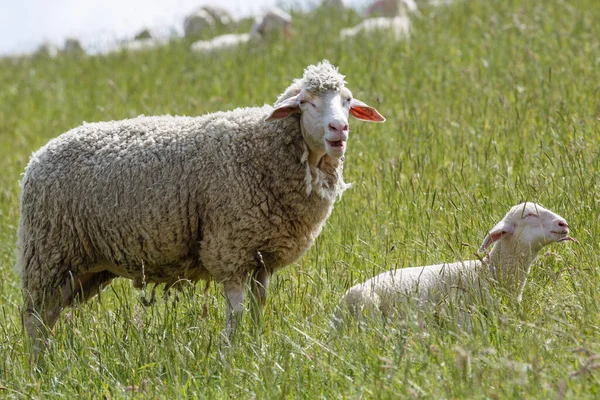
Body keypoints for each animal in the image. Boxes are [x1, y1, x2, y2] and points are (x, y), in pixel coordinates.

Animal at [18, 59, 386, 354]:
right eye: (306, 102)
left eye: (347, 101)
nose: (339, 128)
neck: (263, 151)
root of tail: (35, 159)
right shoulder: (229, 248)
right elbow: (236, 312)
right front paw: (229, 355)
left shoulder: (262, 256)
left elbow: (259, 306)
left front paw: (258, 349)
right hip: (47, 255)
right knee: (33, 318)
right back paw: (37, 369)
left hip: (82, 268)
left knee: (49, 316)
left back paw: (47, 361)